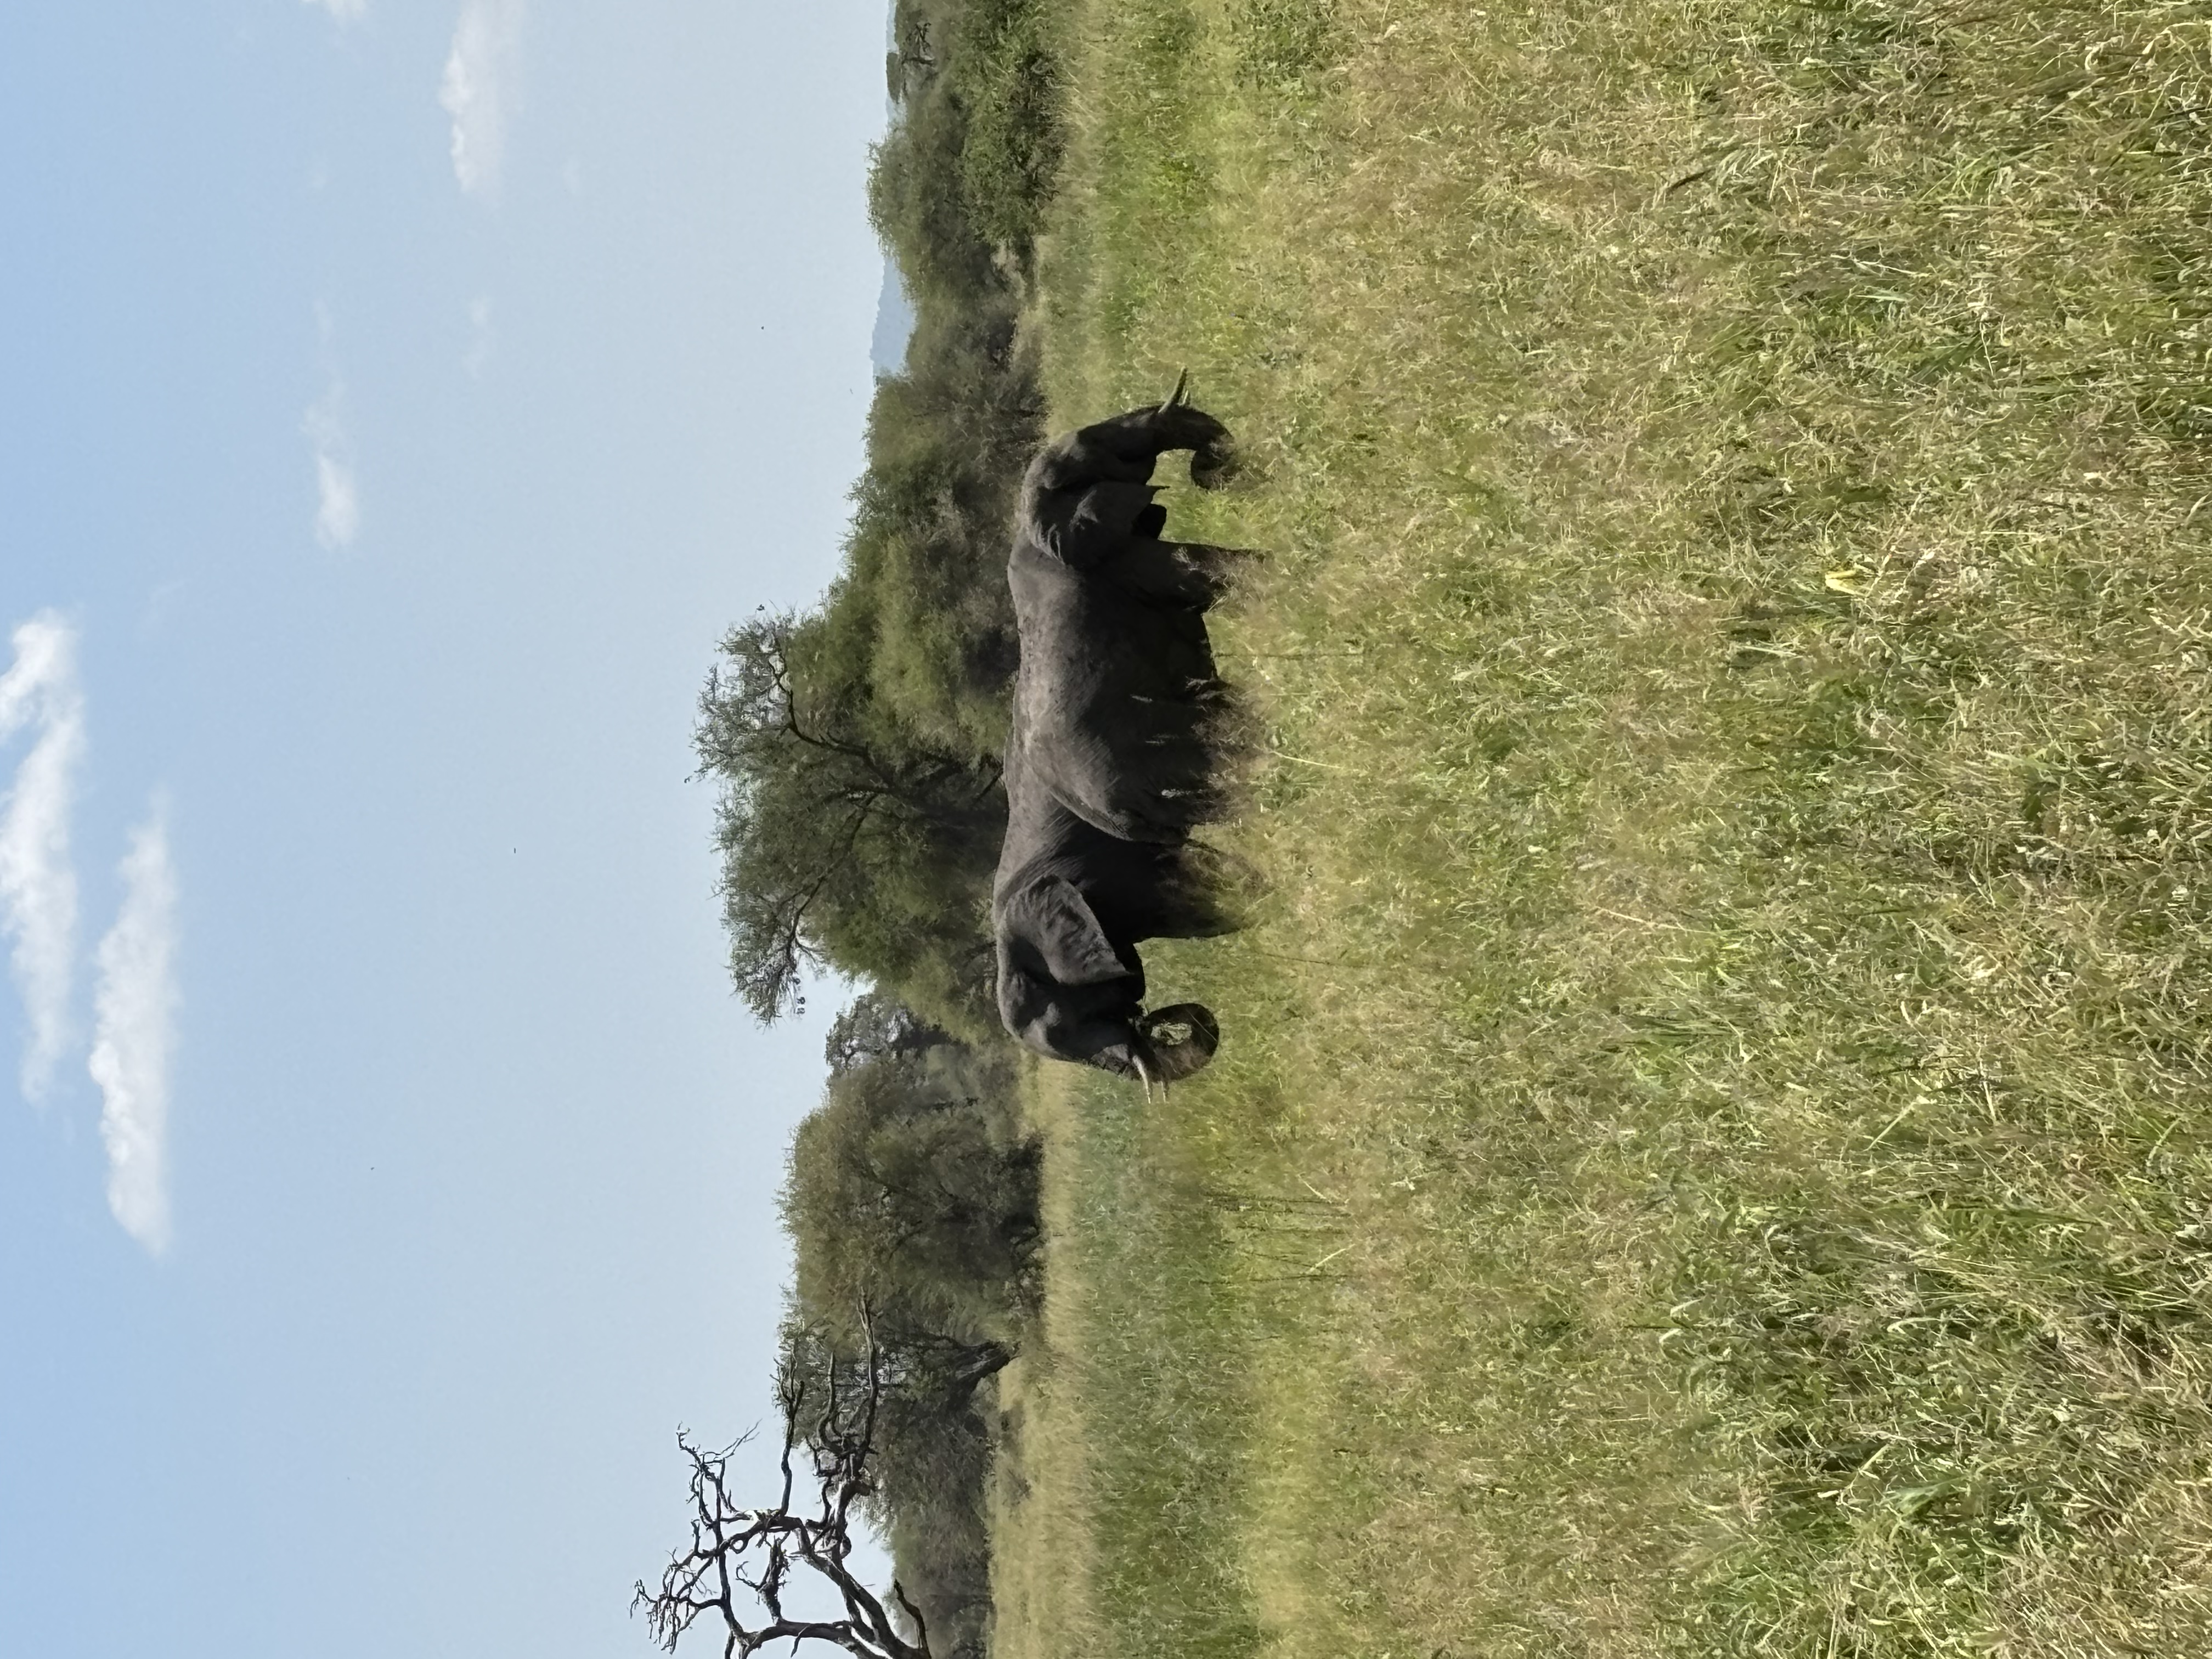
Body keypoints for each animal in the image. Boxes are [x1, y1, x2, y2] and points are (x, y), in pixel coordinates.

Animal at [1008, 377, 1258, 845]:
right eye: (1099, 444)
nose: (1212, 464)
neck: (1031, 523)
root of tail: (1116, 820)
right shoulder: (1116, 561)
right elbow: (1200, 572)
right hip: (1160, 749)